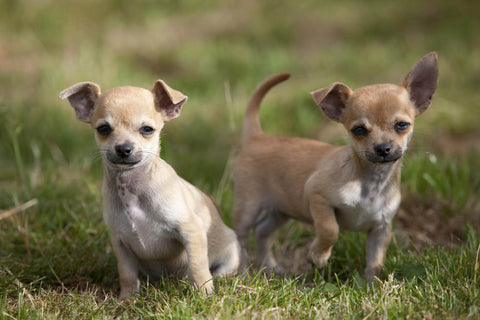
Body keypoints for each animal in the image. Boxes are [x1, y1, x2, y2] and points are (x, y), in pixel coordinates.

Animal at [59, 79, 240, 298]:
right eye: (103, 129)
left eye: (147, 129)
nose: (123, 149)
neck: (131, 186)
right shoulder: (120, 243)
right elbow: (127, 274)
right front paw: (127, 299)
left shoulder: (191, 231)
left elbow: (197, 267)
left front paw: (204, 295)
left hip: (231, 252)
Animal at [232, 52, 438, 282]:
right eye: (359, 130)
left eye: (402, 125)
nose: (383, 148)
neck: (372, 182)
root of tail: (258, 137)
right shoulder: (318, 197)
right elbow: (330, 230)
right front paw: (318, 256)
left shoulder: (381, 229)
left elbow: (375, 261)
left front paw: (372, 284)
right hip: (248, 205)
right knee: (241, 236)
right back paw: (242, 271)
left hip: (281, 209)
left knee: (262, 231)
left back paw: (269, 267)